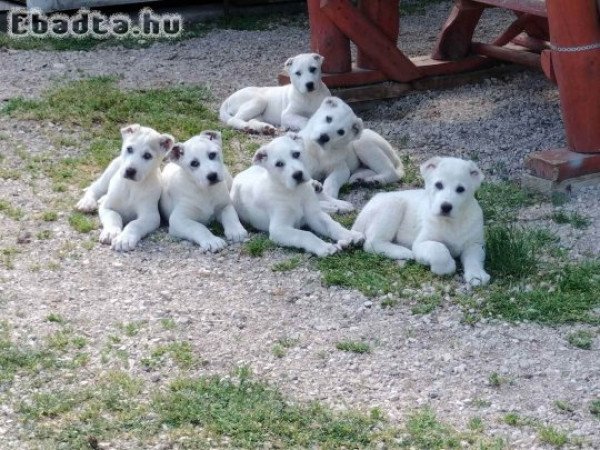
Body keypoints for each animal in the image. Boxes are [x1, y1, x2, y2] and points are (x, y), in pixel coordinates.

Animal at [231, 133, 364, 256]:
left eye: (296, 154)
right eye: (279, 164)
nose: (298, 174)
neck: (295, 193)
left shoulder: (315, 216)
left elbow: (332, 225)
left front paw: (349, 235)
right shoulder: (279, 229)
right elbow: (305, 234)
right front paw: (324, 247)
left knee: (322, 196)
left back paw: (340, 204)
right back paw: (334, 207)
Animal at [354, 156, 490, 286]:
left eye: (460, 189)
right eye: (438, 185)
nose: (445, 207)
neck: (452, 223)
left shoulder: (475, 244)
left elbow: (474, 259)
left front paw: (477, 275)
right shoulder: (421, 243)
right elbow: (438, 249)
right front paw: (447, 266)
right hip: (391, 206)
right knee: (372, 243)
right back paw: (403, 252)